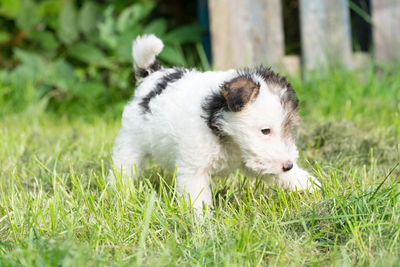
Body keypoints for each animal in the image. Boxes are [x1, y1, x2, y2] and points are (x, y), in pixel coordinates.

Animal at [110, 34, 322, 211]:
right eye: (265, 130)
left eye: (289, 128)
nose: (288, 165)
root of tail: (153, 76)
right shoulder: (194, 170)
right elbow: (197, 200)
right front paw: (202, 225)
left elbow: (291, 178)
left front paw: (316, 189)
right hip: (131, 142)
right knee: (123, 168)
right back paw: (120, 193)